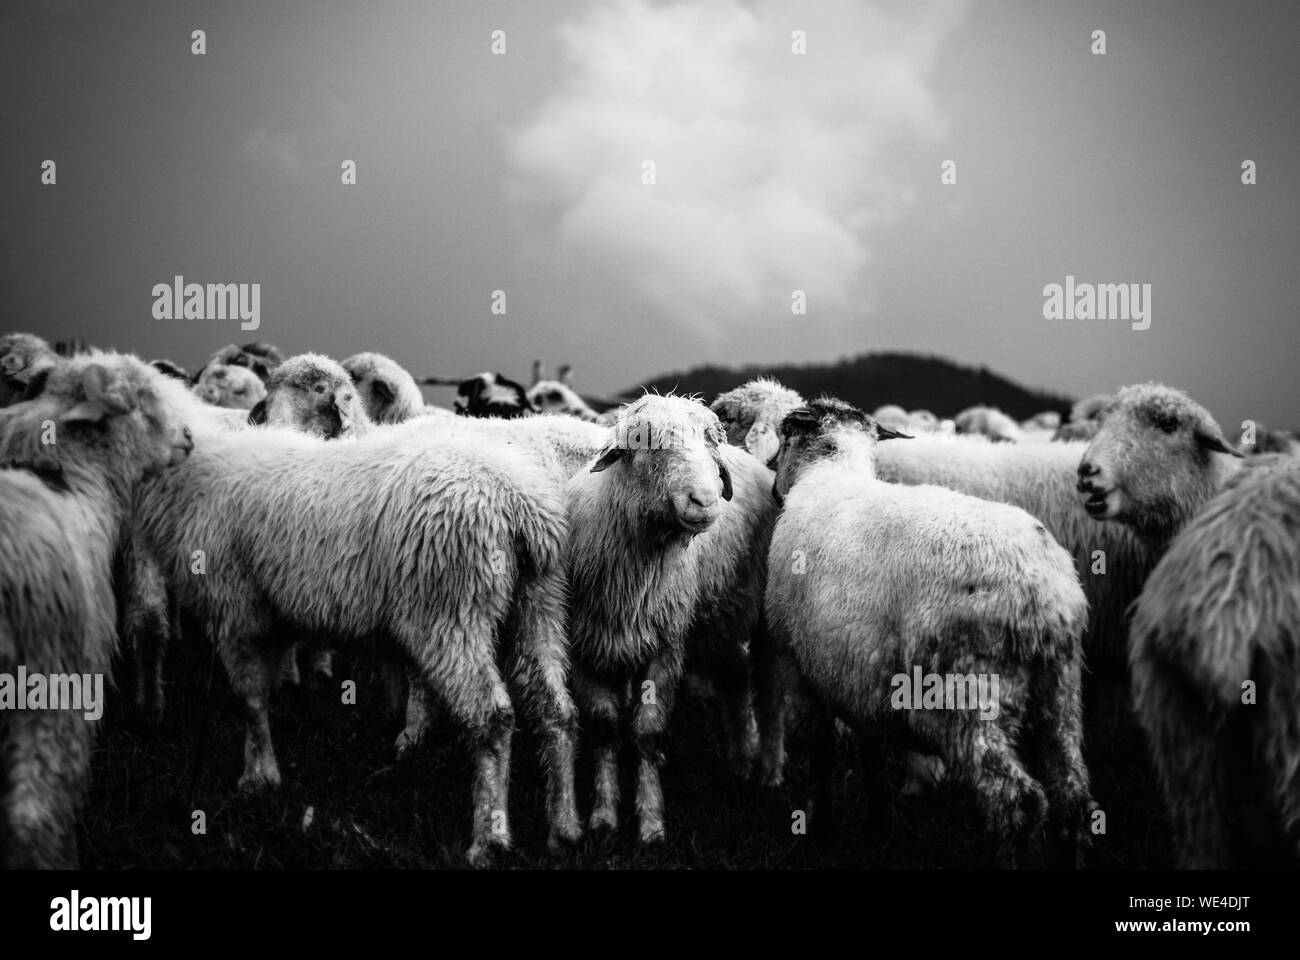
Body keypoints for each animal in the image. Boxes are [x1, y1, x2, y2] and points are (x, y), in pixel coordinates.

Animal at [133, 396, 581, 864]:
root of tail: (519, 501)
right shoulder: (267, 616)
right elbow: (266, 688)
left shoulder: (235, 608)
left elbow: (251, 697)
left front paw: (257, 779)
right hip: (540, 603)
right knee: (556, 709)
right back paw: (563, 829)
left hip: (450, 609)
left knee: (492, 717)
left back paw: (487, 840)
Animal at [766, 398, 1091, 866]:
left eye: (785, 436)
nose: (773, 486)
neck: (830, 473)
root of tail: (1040, 592)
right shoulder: (861, 678)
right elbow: (872, 758)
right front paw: (878, 828)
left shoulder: (802, 670)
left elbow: (822, 755)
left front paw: (822, 829)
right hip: (1060, 692)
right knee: (1073, 795)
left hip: (964, 695)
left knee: (1016, 799)